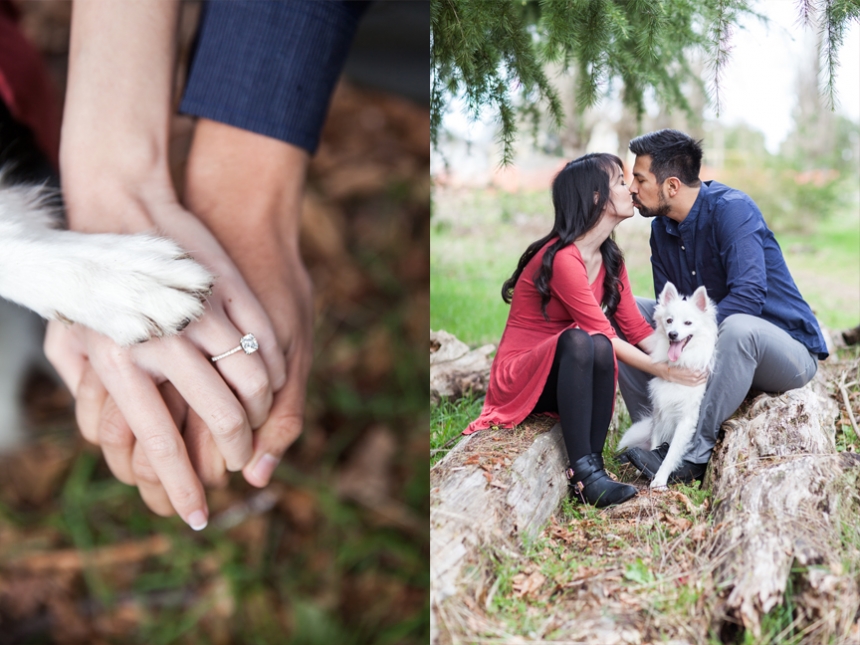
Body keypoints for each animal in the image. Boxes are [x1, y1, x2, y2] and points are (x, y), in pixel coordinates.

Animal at [620, 282, 720, 488]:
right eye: (669, 321)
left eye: (688, 323)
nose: (673, 334)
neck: (679, 364)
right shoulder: (660, 413)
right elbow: (655, 441)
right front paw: (648, 463)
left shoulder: (686, 421)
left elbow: (671, 453)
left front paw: (660, 478)